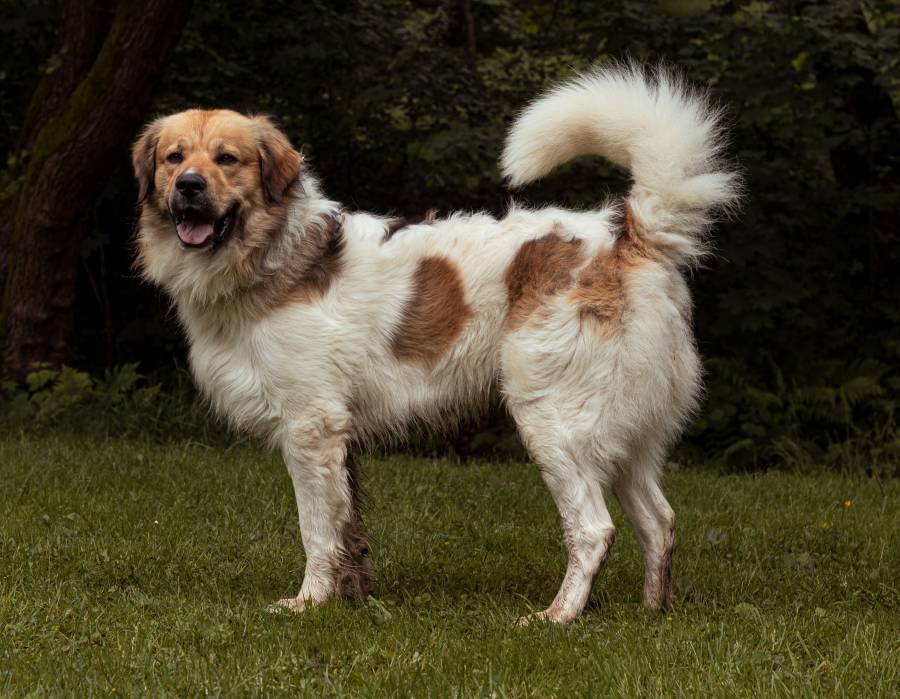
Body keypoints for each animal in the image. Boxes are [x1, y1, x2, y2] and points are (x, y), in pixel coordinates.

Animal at [132, 65, 739, 624]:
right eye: (174, 157)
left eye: (227, 159)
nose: (189, 185)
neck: (270, 259)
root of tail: (627, 232)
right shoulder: (341, 442)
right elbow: (350, 532)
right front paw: (352, 602)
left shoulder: (311, 429)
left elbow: (317, 531)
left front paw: (308, 604)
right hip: (625, 437)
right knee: (659, 521)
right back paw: (651, 613)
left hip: (554, 424)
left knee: (594, 530)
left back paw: (557, 617)